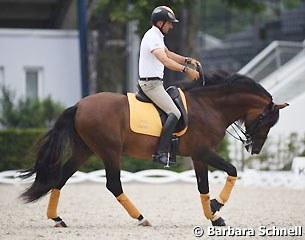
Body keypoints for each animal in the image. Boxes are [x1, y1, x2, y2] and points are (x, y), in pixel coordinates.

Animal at [19, 68, 288, 228]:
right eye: (266, 121)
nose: (254, 149)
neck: (210, 106)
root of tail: (79, 105)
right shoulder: (204, 152)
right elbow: (232, 171)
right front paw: (215, 207)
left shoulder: (199, 157)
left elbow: (203, 187)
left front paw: (214, 217)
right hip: (109, 152)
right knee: (113, 184)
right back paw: (141, 218)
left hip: (84, 150)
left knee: (61, 178)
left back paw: (56, 218)